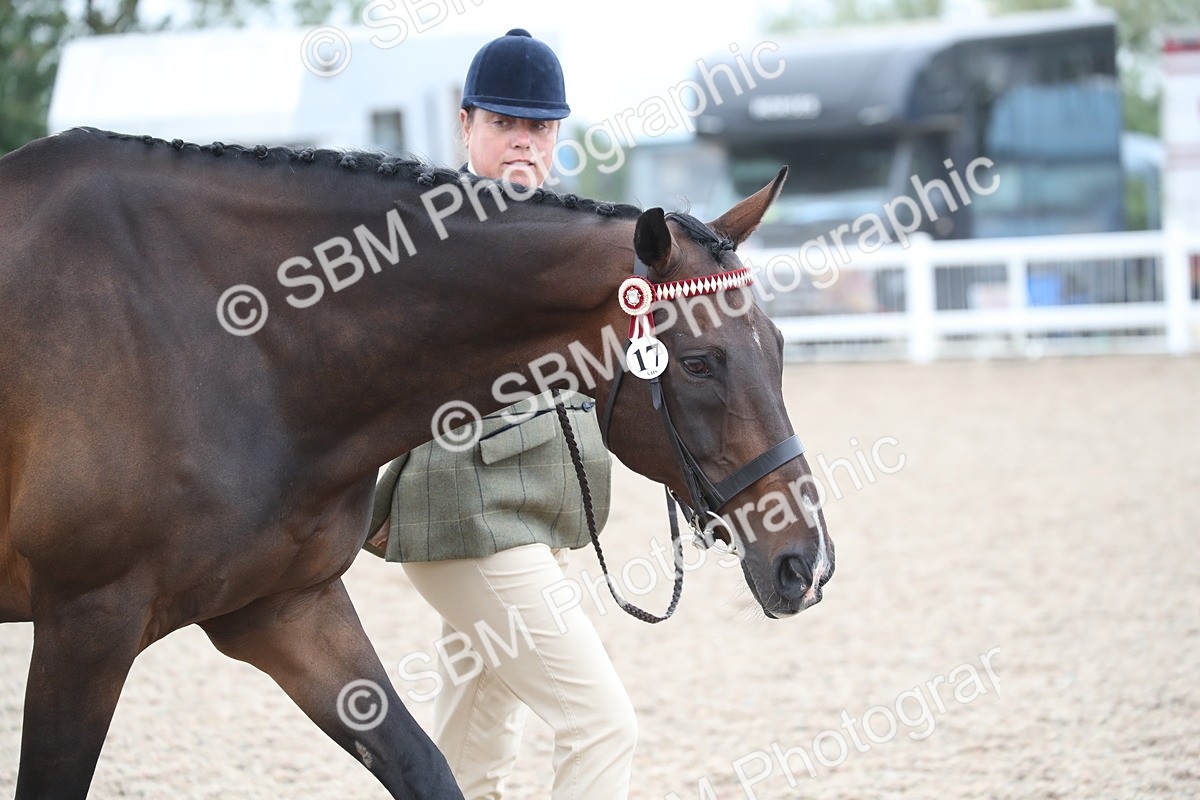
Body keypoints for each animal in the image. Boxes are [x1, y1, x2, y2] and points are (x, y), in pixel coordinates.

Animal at [0, 127, 834, 799]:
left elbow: (424, 764)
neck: (224, 339)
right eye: (697, 364)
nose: (806, 563)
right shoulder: (87, 624)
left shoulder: (282, 608)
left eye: (780, 348)